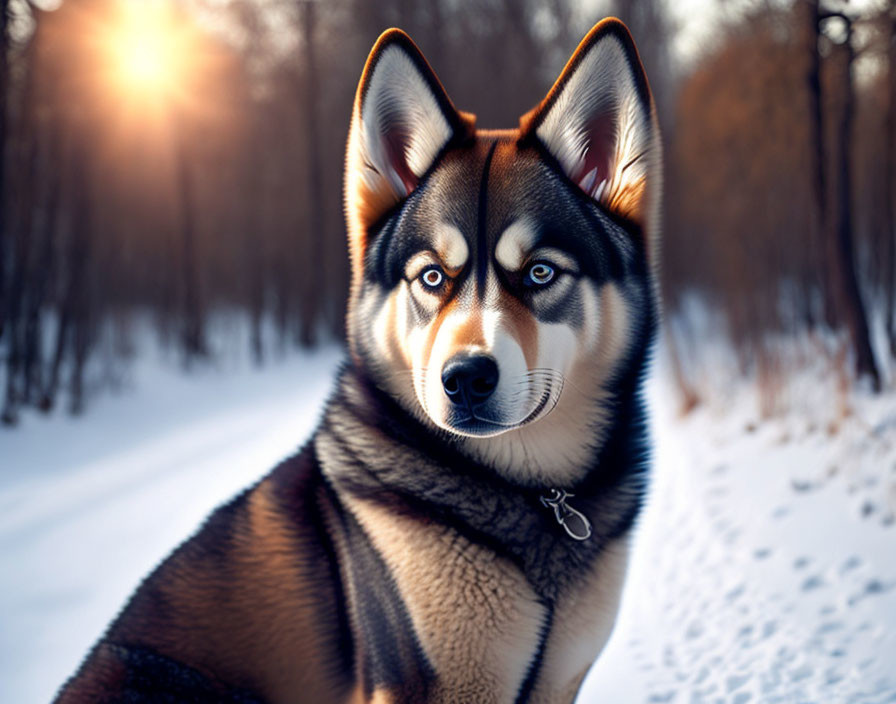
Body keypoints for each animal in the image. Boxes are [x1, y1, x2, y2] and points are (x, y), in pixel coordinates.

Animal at [56, 17, 656, 704]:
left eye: (539, 273)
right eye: (431, 276)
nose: (465, 379)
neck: (533, 498)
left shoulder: (559, 678)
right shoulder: (427, 681)